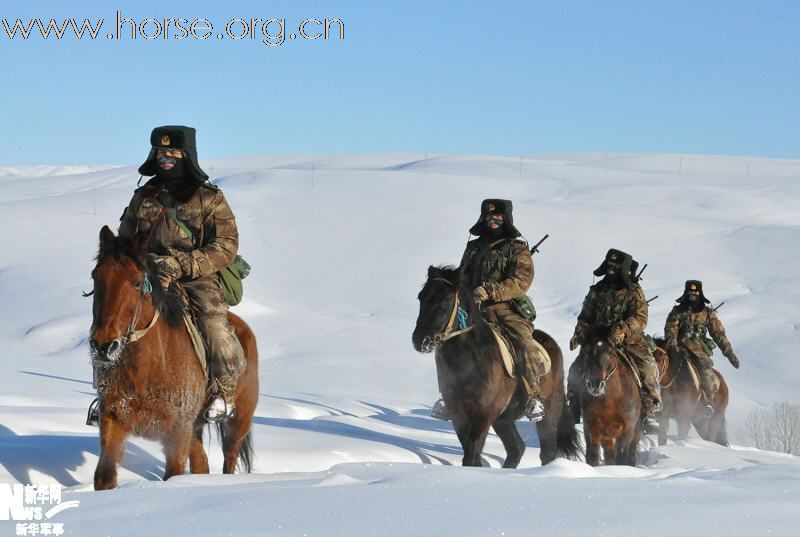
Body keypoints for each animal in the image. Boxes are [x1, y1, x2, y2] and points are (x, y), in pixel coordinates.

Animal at [90, 226, 260, 490]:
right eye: (95, 277)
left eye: (137, 282)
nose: (103, 346)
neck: (146, 369)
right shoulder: (112, 419)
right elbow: (104, 475)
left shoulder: (178, 432)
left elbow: (174, 474)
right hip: (196, 428)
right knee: (201, 464)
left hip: (238, 422)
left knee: (229, 460)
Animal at [412, 266, 580, 466]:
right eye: (421, 297)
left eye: (446, 299)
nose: (420, 340)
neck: (469, 362)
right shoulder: (458, 415)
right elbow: (470, 455)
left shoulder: (483, 414)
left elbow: (472, 455)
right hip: (503, 419)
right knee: (516, 448)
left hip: (548, 411)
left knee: (546, 452)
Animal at [576, 324, 644, 466]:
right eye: (584, 352)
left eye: (610, 352)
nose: (595, 385)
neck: (609, 402)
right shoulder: (591, 428)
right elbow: (592, 456)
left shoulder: (626, 430)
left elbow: (622, 458)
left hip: (636, 432)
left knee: (630, 454)